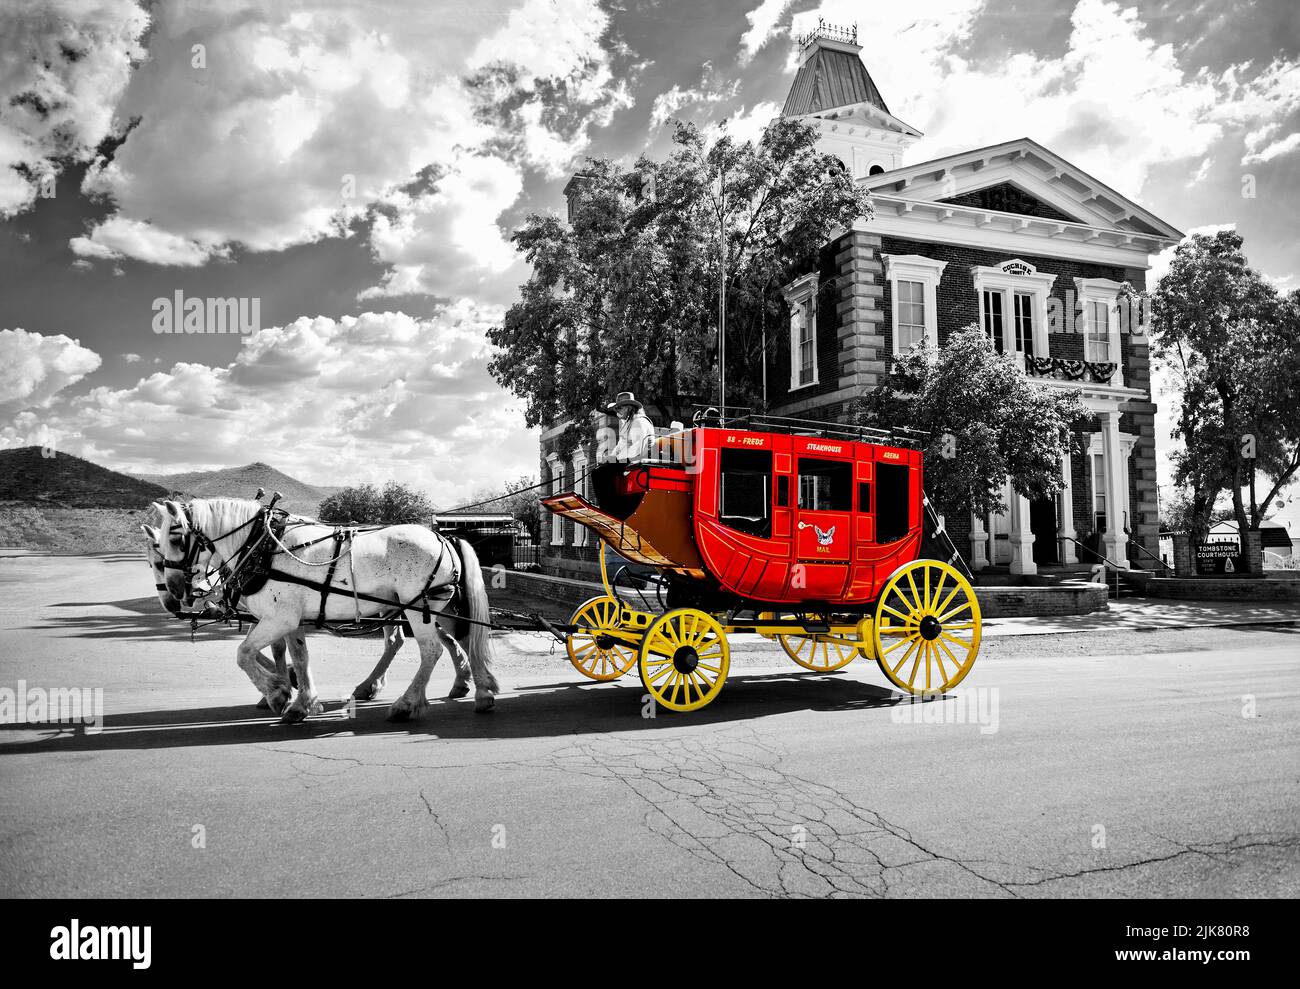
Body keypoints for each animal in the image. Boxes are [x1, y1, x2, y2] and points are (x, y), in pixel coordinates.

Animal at [139, 525, 408, 712]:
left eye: (159, 562)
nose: (171, 602)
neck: (252, 553)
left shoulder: (274, 614)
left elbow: (268, 648)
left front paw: (284, 685)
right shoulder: (267, 614)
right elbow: (271, 649)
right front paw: (285, 682)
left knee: (395, 640)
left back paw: (370, 685)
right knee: (395, 640)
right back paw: (373, 684)